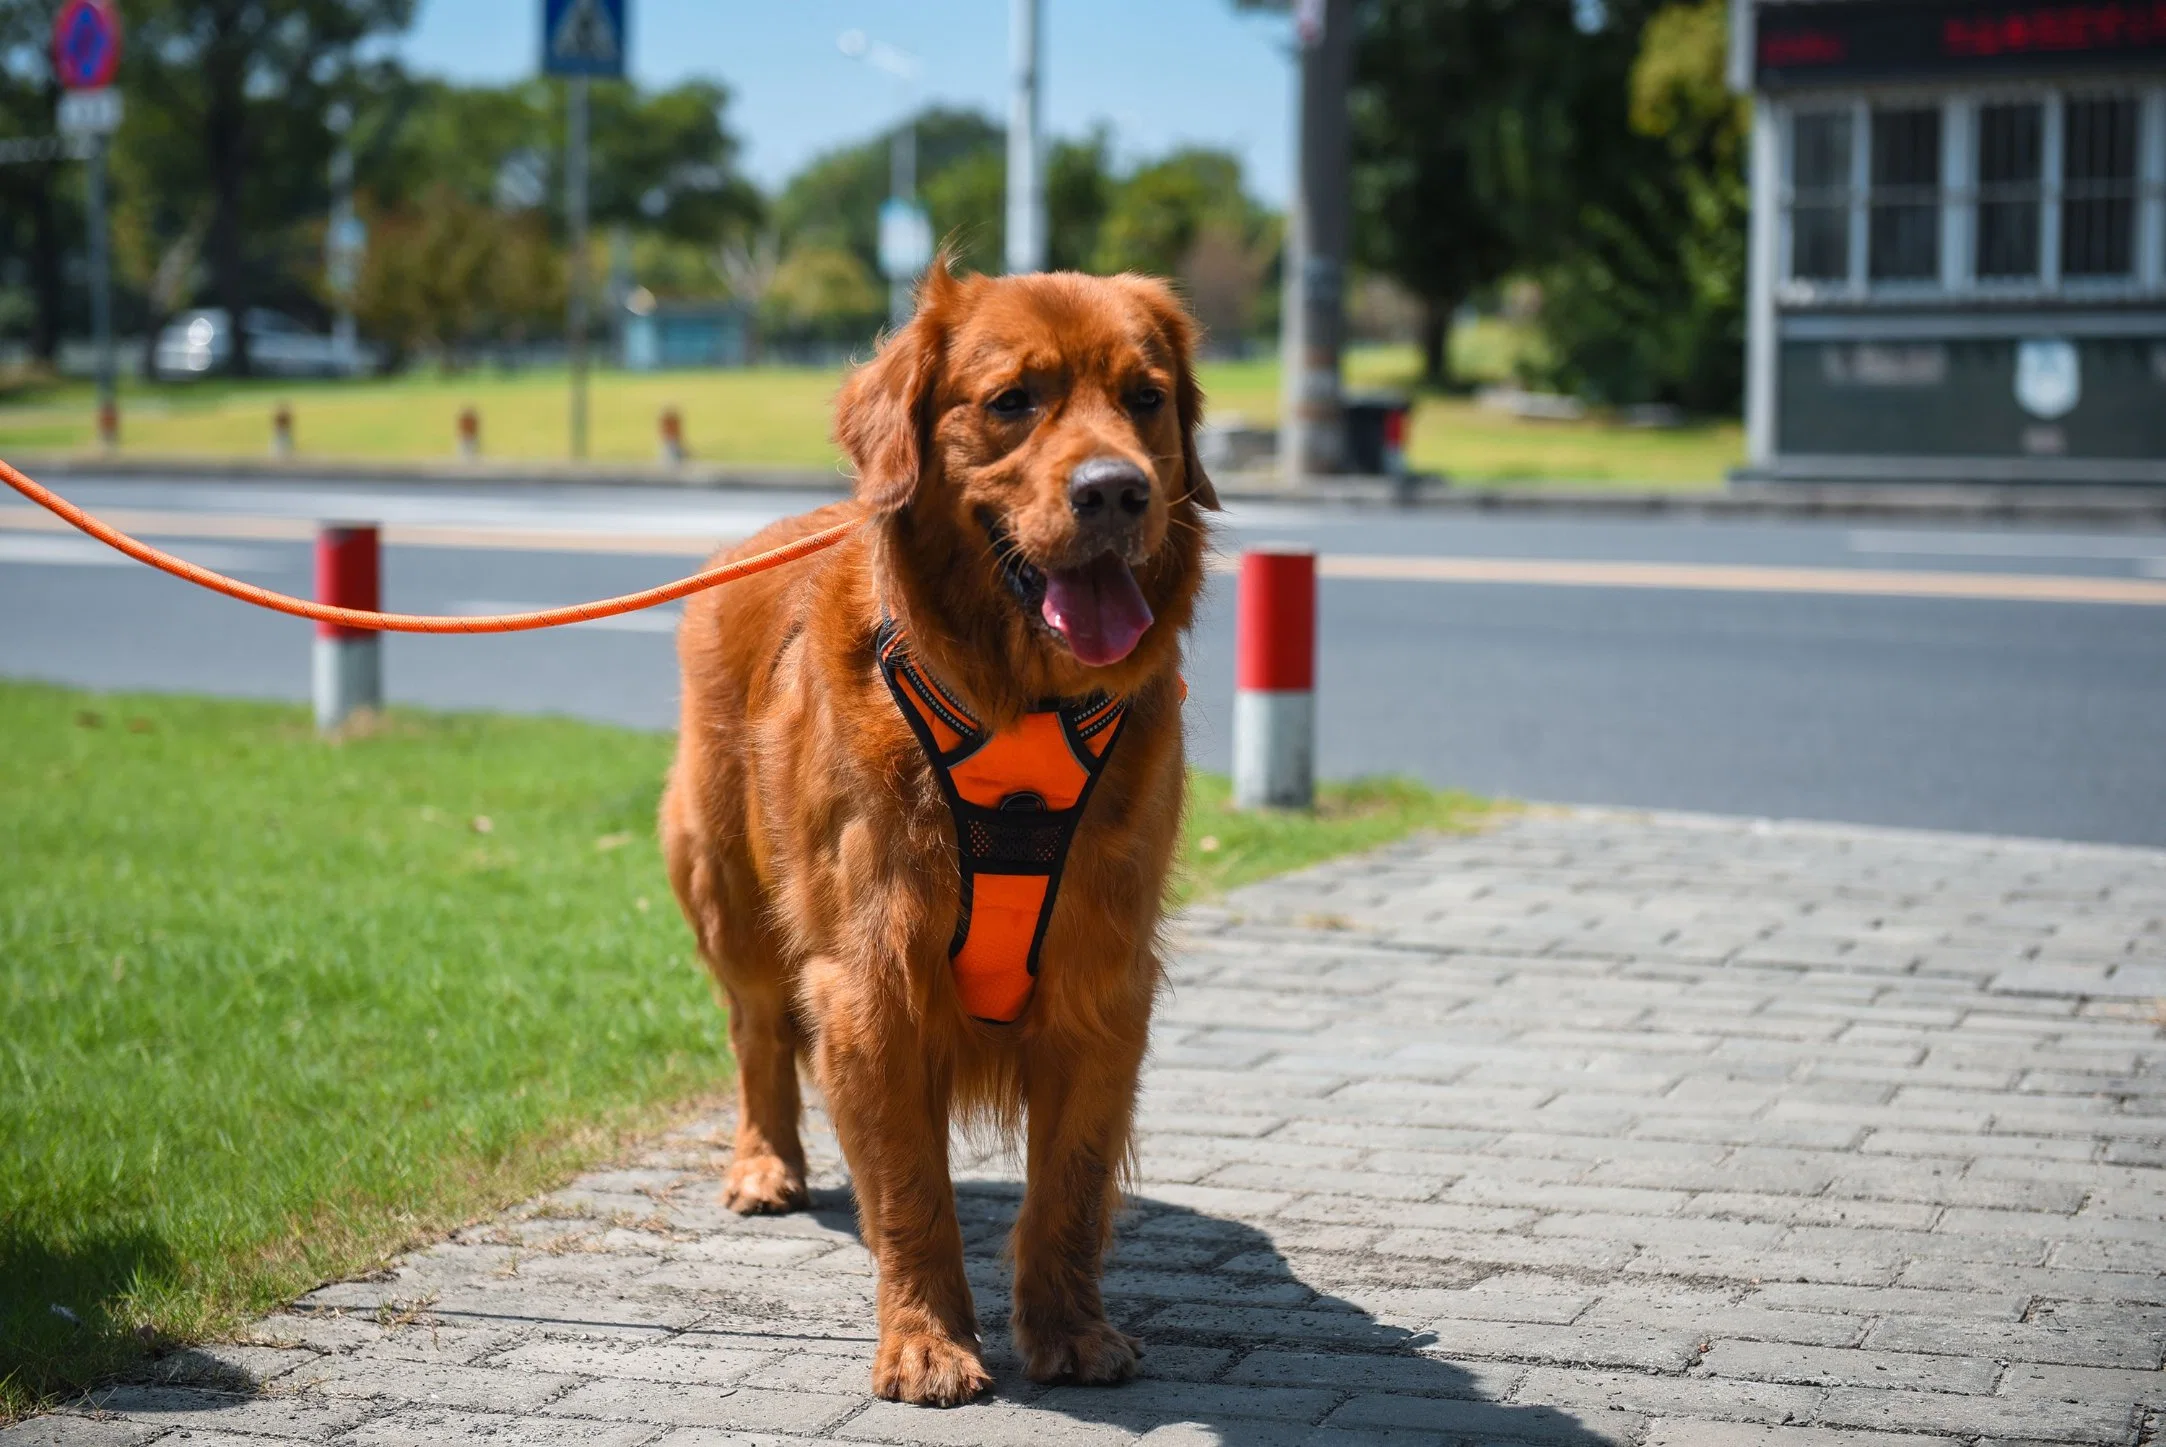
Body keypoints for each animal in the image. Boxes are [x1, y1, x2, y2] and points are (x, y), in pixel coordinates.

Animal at [649, 259, 1230, 1403]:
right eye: (1012, 400)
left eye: (1145, 397)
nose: (1116, 490)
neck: (1022, 710)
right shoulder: (869, 975)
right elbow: (912, 1185)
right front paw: (926, 1338)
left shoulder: (1103, 976)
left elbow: (1070, 1184)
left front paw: (1069, 1326)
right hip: (727, 892)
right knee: (756, 1033)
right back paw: (765, 1163)